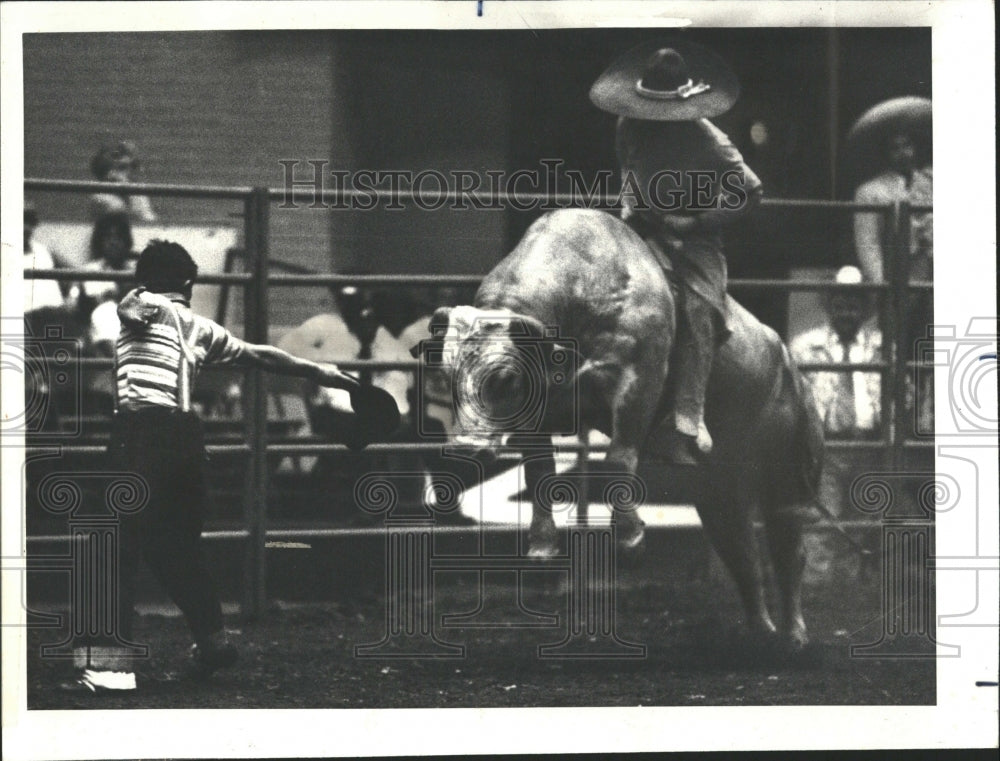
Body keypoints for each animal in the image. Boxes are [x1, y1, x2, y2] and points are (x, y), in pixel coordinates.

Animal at [418, 208, 824, 648]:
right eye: (444, 376)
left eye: (504, 378)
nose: (467, 447)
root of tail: (791, 368)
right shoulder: (537, 406)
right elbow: (539, 473)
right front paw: (542, 551)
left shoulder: (637, 382)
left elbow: (618, 460)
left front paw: (630, 540)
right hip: (719, 490)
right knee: (741, 549)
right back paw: (760, 632)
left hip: (784, 476)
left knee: (787, 546)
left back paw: (794, 635)